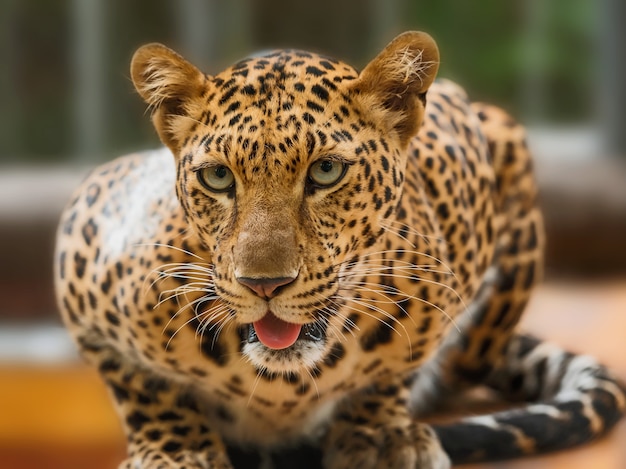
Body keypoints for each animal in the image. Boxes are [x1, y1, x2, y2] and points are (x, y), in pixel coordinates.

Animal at [56, 31, 620, 466]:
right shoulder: (84, 235)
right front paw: (177, 451)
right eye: (217, 177)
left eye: (326, 170)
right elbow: (142, 387)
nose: (265, 285)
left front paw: (380, 435)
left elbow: (396, 370)